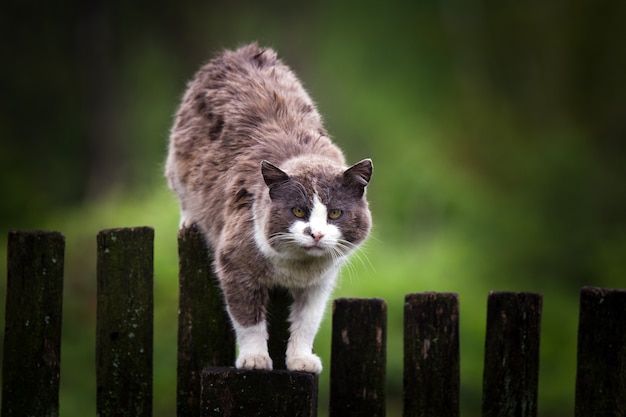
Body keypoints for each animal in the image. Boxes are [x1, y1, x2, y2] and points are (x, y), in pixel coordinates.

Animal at [165, 43, 370, 374]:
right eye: (298, 211)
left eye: (335, 213)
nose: (316, 234)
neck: (297, 267)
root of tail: (237, 52)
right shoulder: (235, 263)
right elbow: (248, 319)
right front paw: (254, 359)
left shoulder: (319, 284)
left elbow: (307, 323)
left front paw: (300, 359)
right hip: (177, 161)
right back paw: (188, 219)